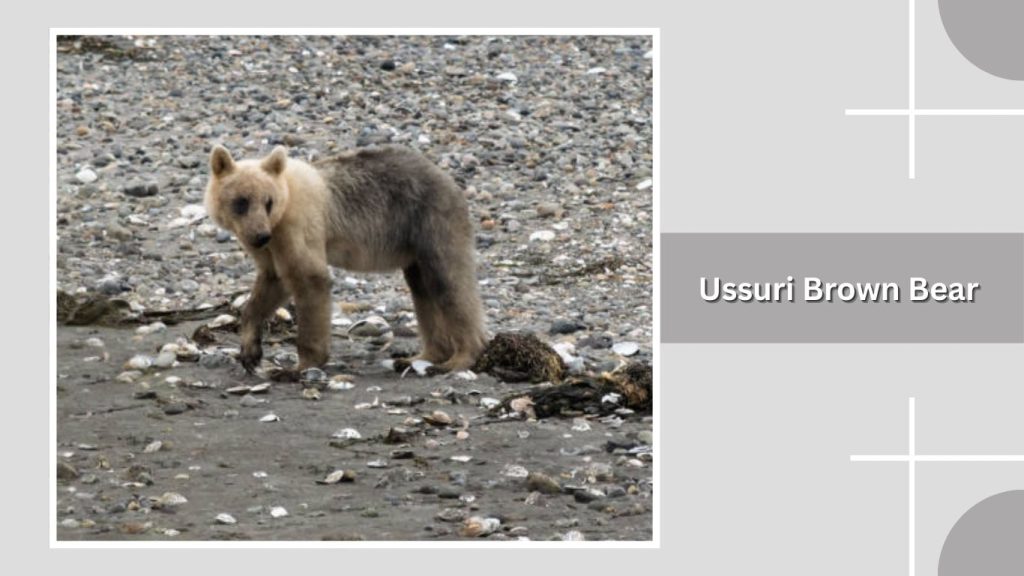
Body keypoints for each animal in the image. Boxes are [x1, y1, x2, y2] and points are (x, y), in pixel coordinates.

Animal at [204, 144, 487, 375]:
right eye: (241, 202)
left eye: (268, 202)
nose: (260, 234)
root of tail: (450, 181)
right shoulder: (272, 249)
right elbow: (270, 284)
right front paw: (250, 353)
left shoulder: (298, 228)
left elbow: (310, 278)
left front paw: (300, 365)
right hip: (415, 247)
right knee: (423, 292)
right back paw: (418, 357)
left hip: (431, 223)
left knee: (449, 283)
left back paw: (458, 358)